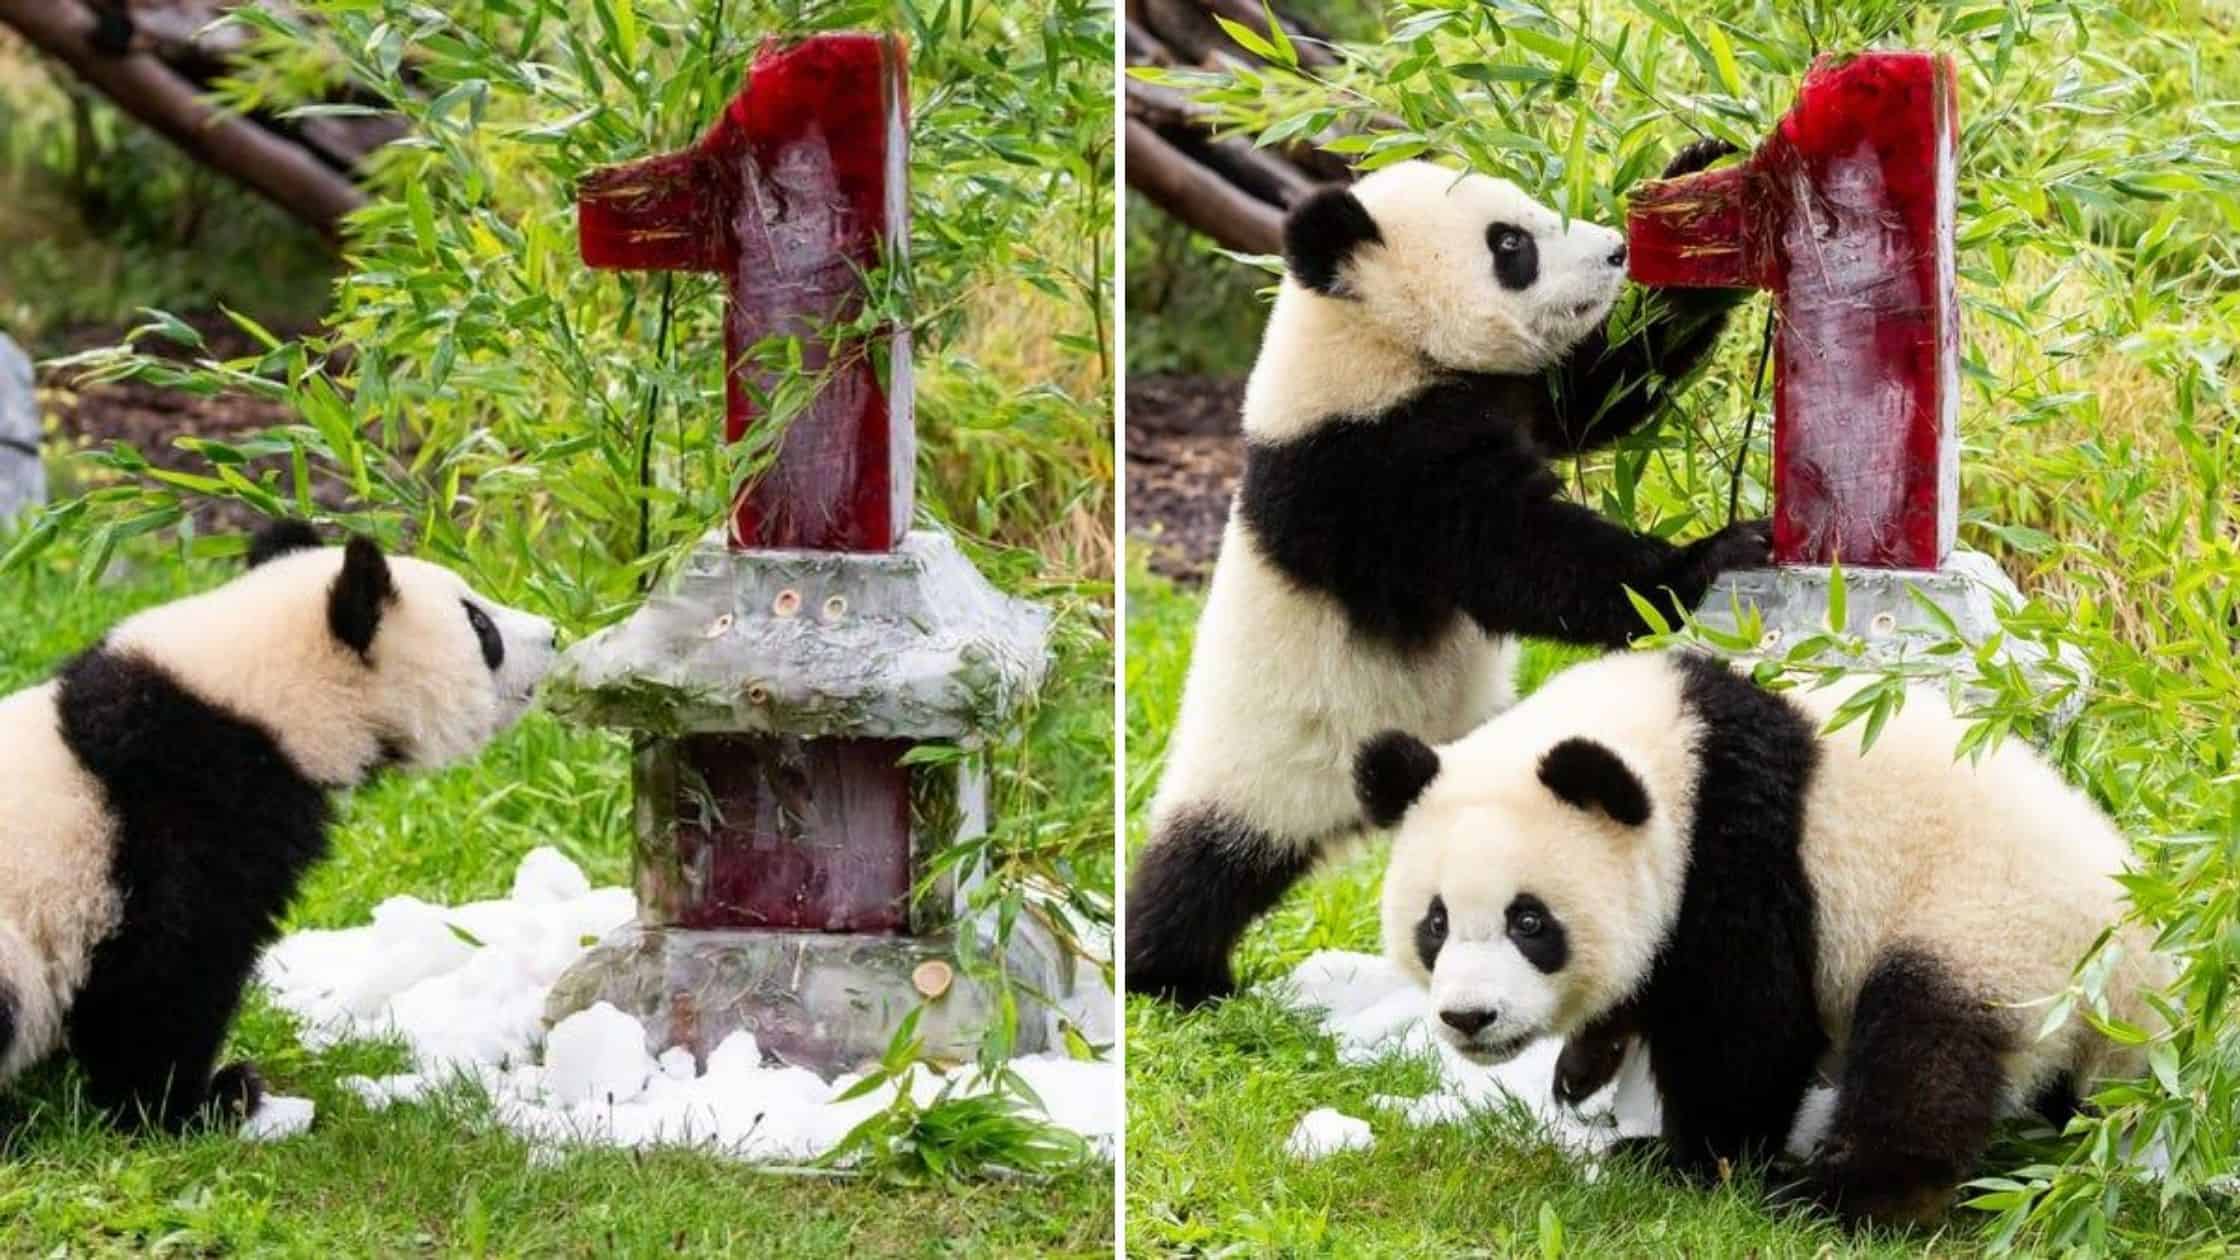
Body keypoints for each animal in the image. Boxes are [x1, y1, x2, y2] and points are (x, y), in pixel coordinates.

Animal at [1126, 144, 1772, 1006]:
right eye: (1510, 244)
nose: (1612, 251)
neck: (1369, 337)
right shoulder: (1365, 466)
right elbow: (1514, 556)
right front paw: (1712, 555)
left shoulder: (1499, 396)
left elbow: (1601, 394)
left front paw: (1697, 206)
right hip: (1258, 763)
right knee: (1202, 873)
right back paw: (1171, 975)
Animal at [1354, 650, 2169, 1226]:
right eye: (1435, 923)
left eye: (1530, 922)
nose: (1469, 1017)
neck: (1678, 748)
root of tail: (2143, 971)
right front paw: (1584, 1066)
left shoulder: (1741, 855)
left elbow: (1745, 1032)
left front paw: (1689, 1164)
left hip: (1995, 932)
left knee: (1922, 1057)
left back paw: (1836, 1198)